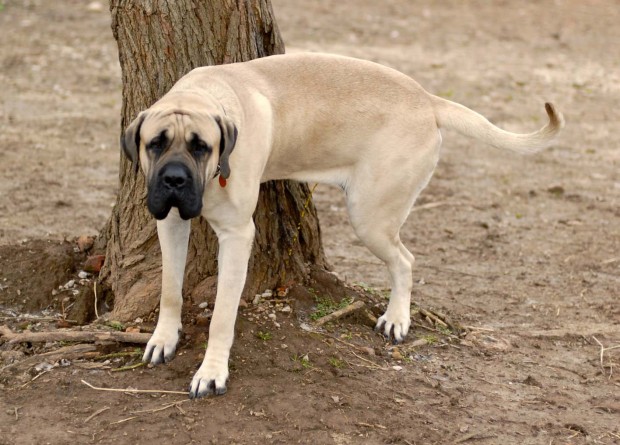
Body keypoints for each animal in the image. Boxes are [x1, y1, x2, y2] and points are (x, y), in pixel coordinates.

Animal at [120, 53, 560, 398]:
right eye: (155, 143)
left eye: (201, 147)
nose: (174, 180)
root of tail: (427, 99)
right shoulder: (170, 222)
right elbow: (170, 290)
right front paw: (163, 338)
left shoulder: (237, 236)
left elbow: (222, 317)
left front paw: (212, 371)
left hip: (369, 214)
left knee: (405, 260)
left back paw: (397, 317)